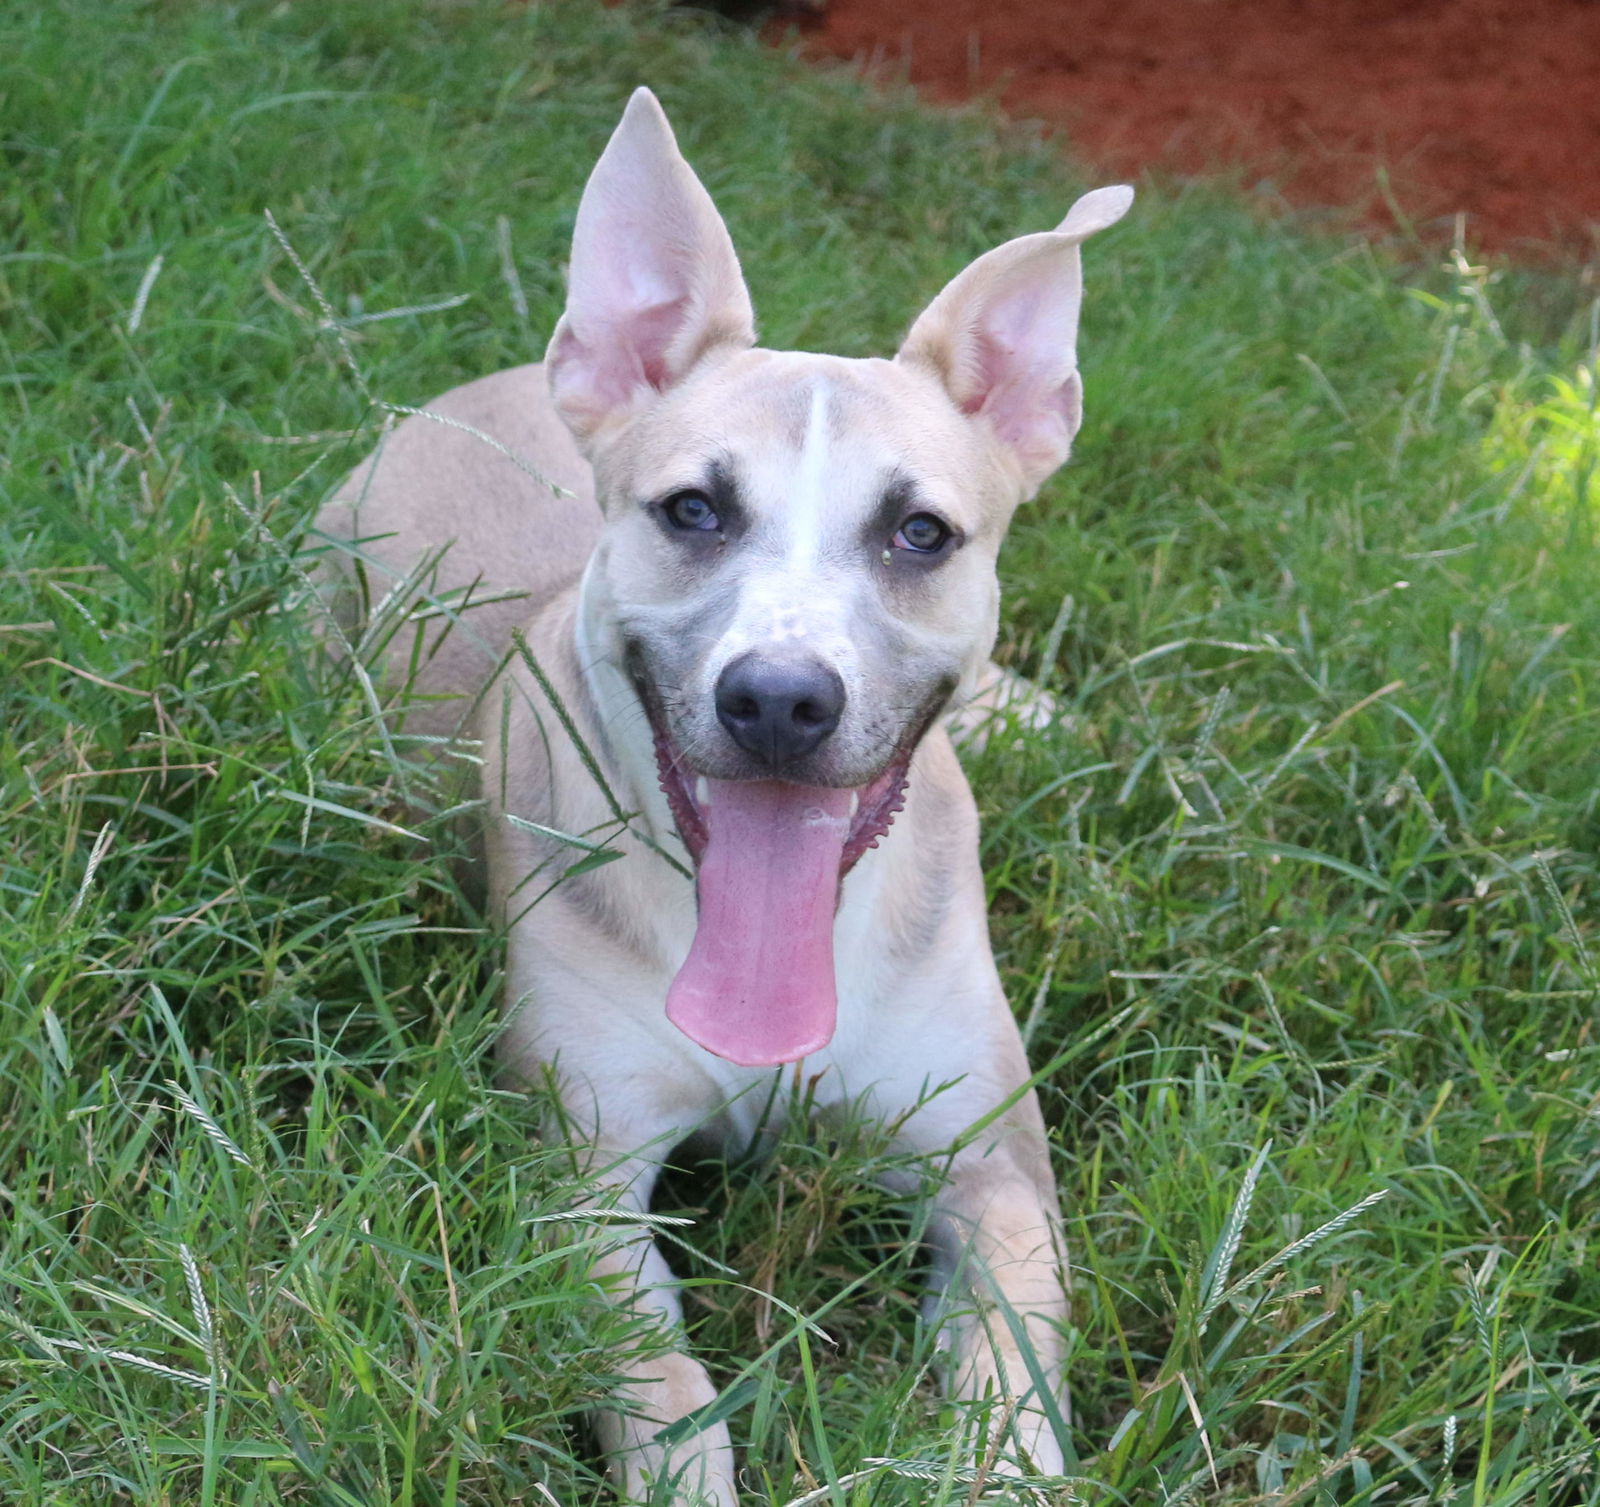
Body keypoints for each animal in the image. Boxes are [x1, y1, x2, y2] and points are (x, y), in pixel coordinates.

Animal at [318, 88, 1132, 1503]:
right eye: (692, 509)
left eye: (920, 533)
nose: (780, 700)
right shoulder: (583, 1175)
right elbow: (660, 1385)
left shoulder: (993, 1172)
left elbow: (1011, 1385)